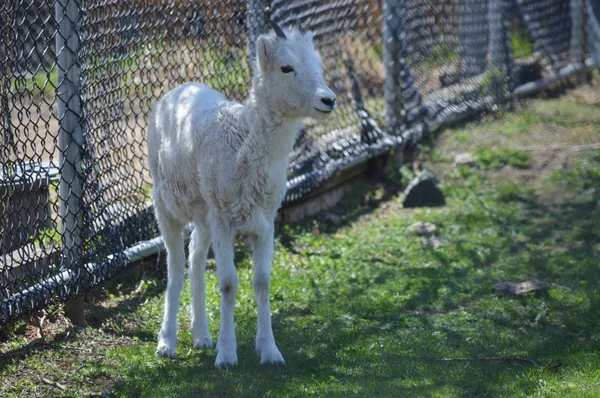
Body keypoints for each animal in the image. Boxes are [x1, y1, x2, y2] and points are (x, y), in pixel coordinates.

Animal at [148, 22, 338, 366]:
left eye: (318, 66)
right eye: (286, 67)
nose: (328, 100)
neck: (244, 146)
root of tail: (175, 91)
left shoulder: (264, 222)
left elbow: (261, 281)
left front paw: (270, 351)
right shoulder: (225, 220)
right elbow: (227, 283)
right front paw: (226, 356)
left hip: (204, 213)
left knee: (196, 258)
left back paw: (201, 337)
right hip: (166, 205)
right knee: (175, 265)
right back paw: (167, 343)